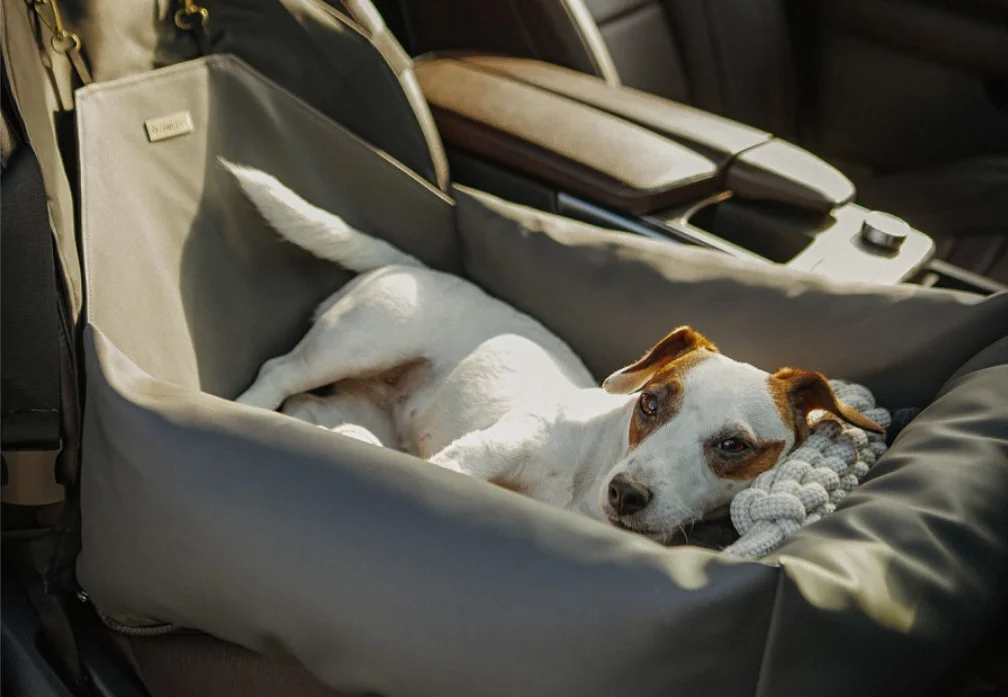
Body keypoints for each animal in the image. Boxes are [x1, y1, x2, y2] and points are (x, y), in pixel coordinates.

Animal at [228, 165, 883, 544]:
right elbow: (453, 468)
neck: (587, 480)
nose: (626, 493)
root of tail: (415, 267)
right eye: (648, 404)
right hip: (365, 341)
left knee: (314, 410)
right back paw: (243, 411)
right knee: (279, 372)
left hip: (355, 398)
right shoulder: (497, 446)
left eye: (733, 447)